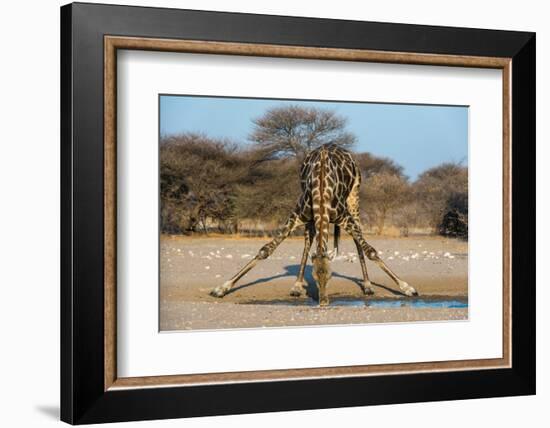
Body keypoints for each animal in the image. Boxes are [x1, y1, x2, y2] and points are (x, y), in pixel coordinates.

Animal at [211, 145, 418, 306]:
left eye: (331, 276)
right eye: (316, 278)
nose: (324, 302)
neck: (322, 187)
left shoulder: (344, 216)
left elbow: (371, 251)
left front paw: (408, 288)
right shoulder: (297, 214)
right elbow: (265, 250)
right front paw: (221, 288)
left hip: (354, 199)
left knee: (358, 241)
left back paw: (367, 286)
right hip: (311, 219)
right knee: (307, 244)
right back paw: (296, 286)